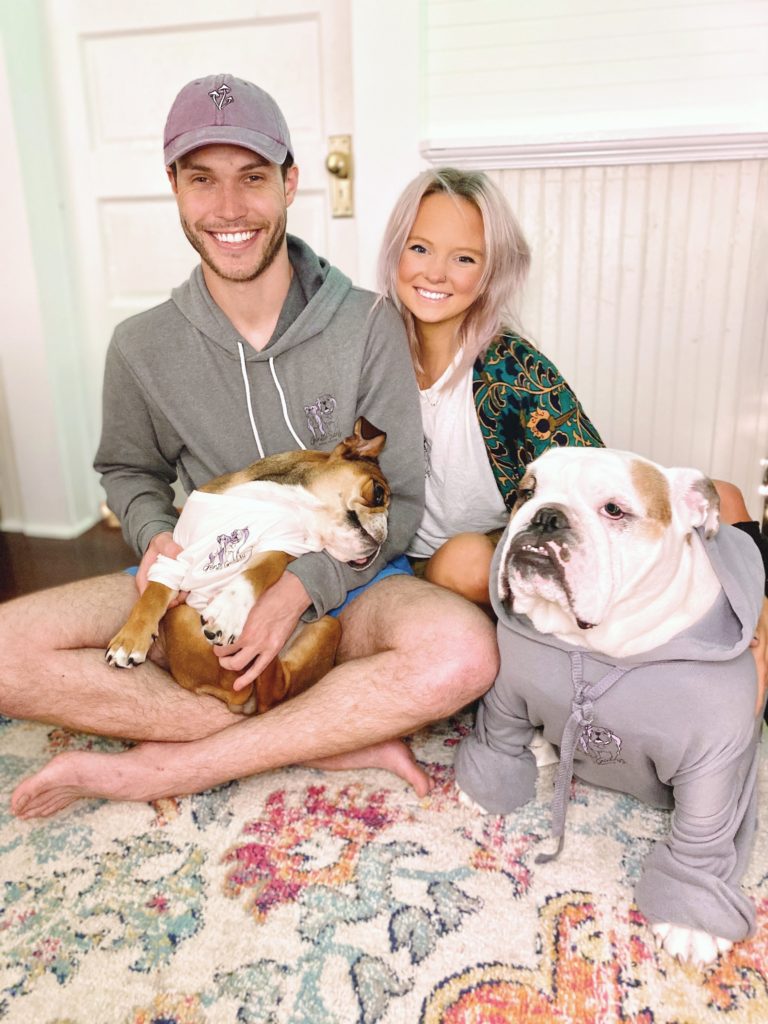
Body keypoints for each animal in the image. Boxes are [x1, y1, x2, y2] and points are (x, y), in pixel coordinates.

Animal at [104, 415, 391, 712]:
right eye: (379, 493)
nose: (386, 531)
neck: (293, 504)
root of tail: (238, 700)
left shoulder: (279, 547)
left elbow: (257, 572)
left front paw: (229, 610)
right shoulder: (178, 552)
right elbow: (154, 593)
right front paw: (130, 639)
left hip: (326, 625)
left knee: (274, 692)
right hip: (182, 615)